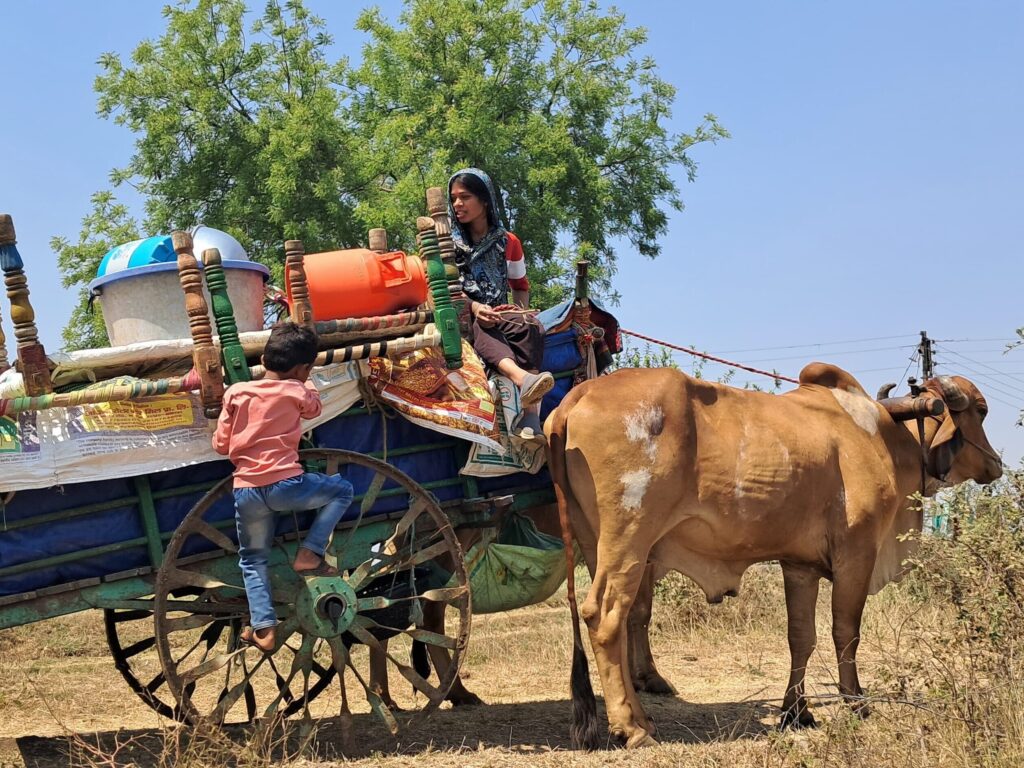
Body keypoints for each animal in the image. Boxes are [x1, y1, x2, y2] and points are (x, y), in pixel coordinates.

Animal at [544, 363, 1002, 749]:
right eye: (980, 409)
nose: (997, 464)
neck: (881, 437)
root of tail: (579, 394)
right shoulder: (857, 552)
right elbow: (845, 632)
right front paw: (855, 702)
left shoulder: (799, 566)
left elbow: (801, 637)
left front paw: (796, 711)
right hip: (629, 537)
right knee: (605, 616)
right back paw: (632, 728)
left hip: (596, 541)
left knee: (618, 623)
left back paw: (641, 717)